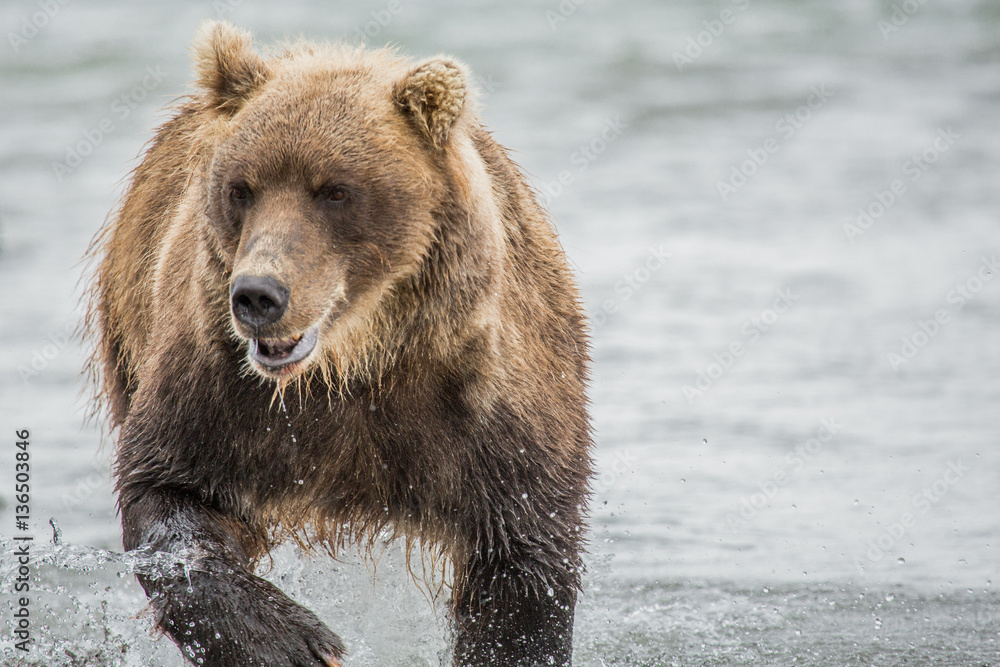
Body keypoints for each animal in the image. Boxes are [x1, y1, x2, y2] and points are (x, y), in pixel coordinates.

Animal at [86, 20, 592, 667]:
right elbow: (167, 496)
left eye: (334, 191)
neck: (351, 366)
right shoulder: (214, 390)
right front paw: (290, 640)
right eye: (241, 188)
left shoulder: (487, 405)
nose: (257, 295)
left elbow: (523, 563)